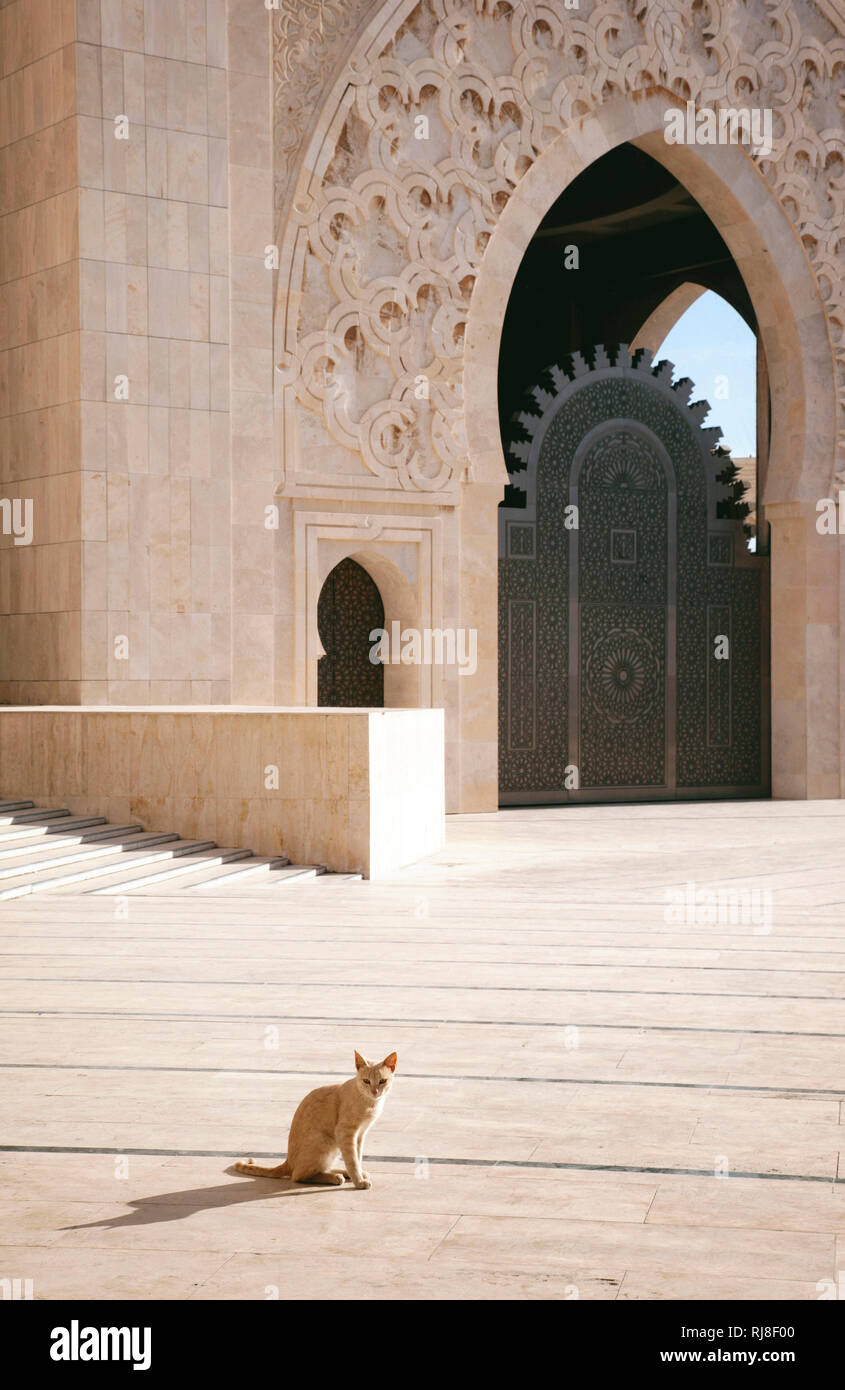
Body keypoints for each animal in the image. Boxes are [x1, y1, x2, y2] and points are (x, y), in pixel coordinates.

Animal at [234, 1045, 400, 1189]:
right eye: (366, 1081)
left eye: (382, 1081)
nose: (374, 1091)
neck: (370, 1103)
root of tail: (288, 1161)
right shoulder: (346, 1132)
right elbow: (352, 1159)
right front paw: (359, 1181)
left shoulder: (360, 1135)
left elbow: (357, 1157)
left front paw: (358, 1174)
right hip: (325, 1142)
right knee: (298, 1175)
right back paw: (335, 1177)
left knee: (317, 1169)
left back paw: (342, 1173)